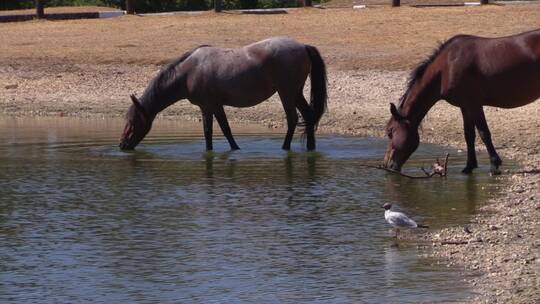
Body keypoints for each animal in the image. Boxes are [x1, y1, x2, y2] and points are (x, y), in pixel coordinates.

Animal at [119, 36, 326, 152]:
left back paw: (285, 148)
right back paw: (310, 147)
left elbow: (225, 129)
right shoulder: (206, 107)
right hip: (296, 93)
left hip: (286, 93)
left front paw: (235, 148)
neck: (188, 73)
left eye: (133, 121)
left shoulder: (214, 105)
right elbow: (208, 132)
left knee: (292, 119)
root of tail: (302, 46)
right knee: (308, 115)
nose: (122, 145)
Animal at [384, 29, 540, 176]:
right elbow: (469, 135)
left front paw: (494, 165)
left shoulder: (474, 104)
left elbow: (484, 133)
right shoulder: (464, 106)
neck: (447, 67)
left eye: (390, 131)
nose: (388, 166)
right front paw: (469, 166)